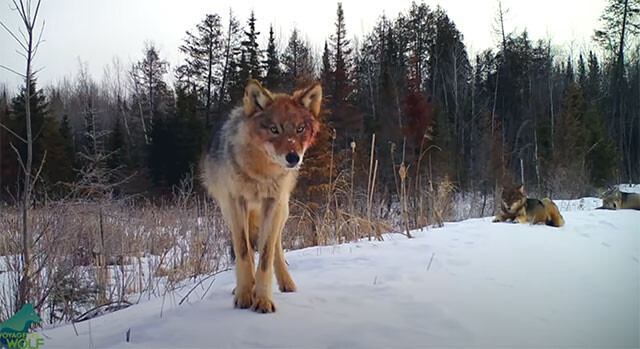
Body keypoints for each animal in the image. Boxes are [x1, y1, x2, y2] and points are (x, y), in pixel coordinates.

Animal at [201, 79, 322, 312]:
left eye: (300, 129)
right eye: (274, 129)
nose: (293, 158)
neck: (261, 173)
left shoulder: (272, 202)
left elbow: (266, 255)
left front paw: (263, 299)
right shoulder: (236, 202)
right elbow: (244, 252)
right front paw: (244, 294)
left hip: (282, 211)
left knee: (276, 247)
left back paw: (286, 283)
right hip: (230, 212)